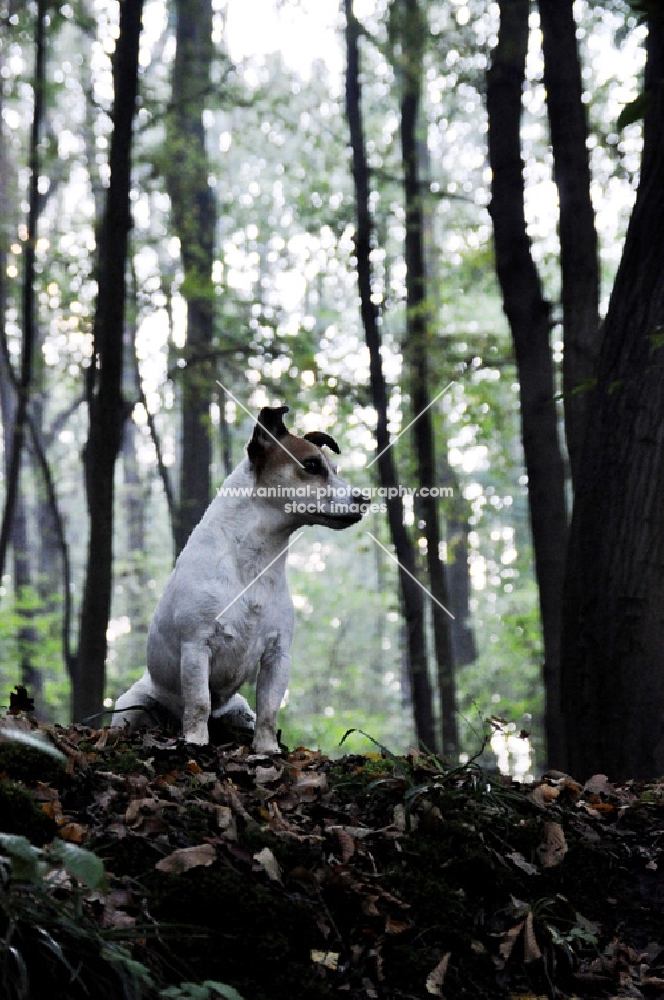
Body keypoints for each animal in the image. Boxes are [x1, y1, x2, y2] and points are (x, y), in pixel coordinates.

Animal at [113, 406, 364, 752]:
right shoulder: (196, 645)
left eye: (335, 469)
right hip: (129, 708)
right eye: (312, 465)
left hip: (240, 713)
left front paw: (267, 750)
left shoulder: (277, 656)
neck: (253, 564)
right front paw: (196, 742)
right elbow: (199, 702)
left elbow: (269, 711)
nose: (364, 499)